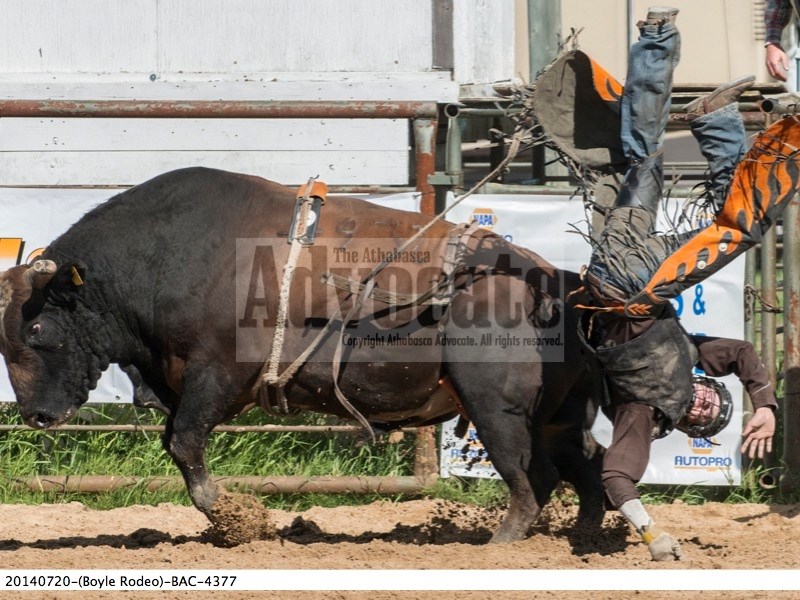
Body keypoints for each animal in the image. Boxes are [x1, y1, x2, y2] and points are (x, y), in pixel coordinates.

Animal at [0, 166, 604, 540]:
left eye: (37, 328)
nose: (35, 415)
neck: (162, 259)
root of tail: (556, 281)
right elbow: (179, 440)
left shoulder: (218, 373)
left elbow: (184, 441)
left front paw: (235, 517)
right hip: (558, 412)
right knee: (583, 461)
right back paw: (588, 535)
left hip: (495, 407)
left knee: (529, 474)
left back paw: (506, 541)